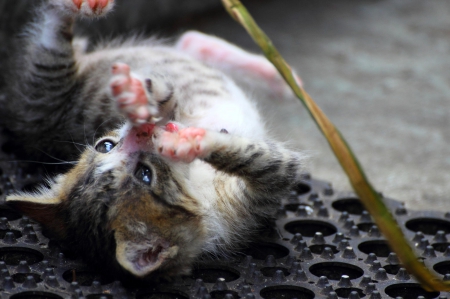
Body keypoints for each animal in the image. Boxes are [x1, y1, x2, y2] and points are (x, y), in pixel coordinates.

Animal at [1, 0, 304, 280]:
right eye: (145, 175)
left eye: (105, 145)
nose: (141, 132)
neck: (197, 184)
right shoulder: (265, 192)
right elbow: (262, 161)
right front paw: (190, 142)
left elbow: (167, 104)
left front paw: (138, 101)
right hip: (43, 99)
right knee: (51, 46)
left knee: (186, 43)